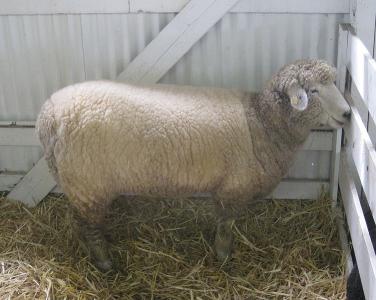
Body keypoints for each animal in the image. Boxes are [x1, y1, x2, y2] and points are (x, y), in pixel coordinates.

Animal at [36, 59, 352, 272]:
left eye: (335, 84)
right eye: (313, 91)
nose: (348, 113)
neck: (260, 122)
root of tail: (48, 115)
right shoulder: (233, 188)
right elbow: (226, 225)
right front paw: (223, 257)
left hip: (82, 184)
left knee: (80, 222)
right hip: (87, 183)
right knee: (88, 226)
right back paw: (104, 262)